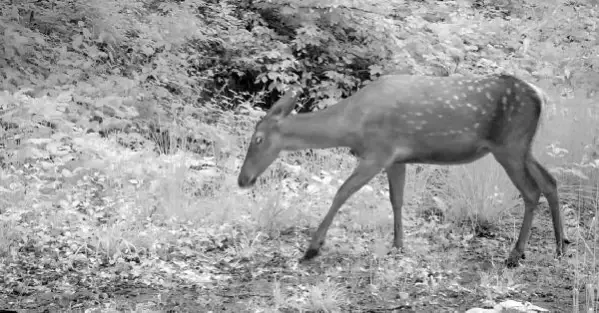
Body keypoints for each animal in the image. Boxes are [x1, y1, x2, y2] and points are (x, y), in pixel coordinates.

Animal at [236, 73, 572, 266]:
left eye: (258, 138)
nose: (243, 180)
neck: (351, 125)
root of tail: (540, 95)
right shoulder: (396, 158)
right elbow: (396, 199)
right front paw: (398, 246)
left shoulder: (378, 152)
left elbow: (341, 192)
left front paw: (312, 248)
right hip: (523, 147)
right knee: (550, 181)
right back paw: (559, 247)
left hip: (509, 145)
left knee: (531, 191)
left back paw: (516, 255)